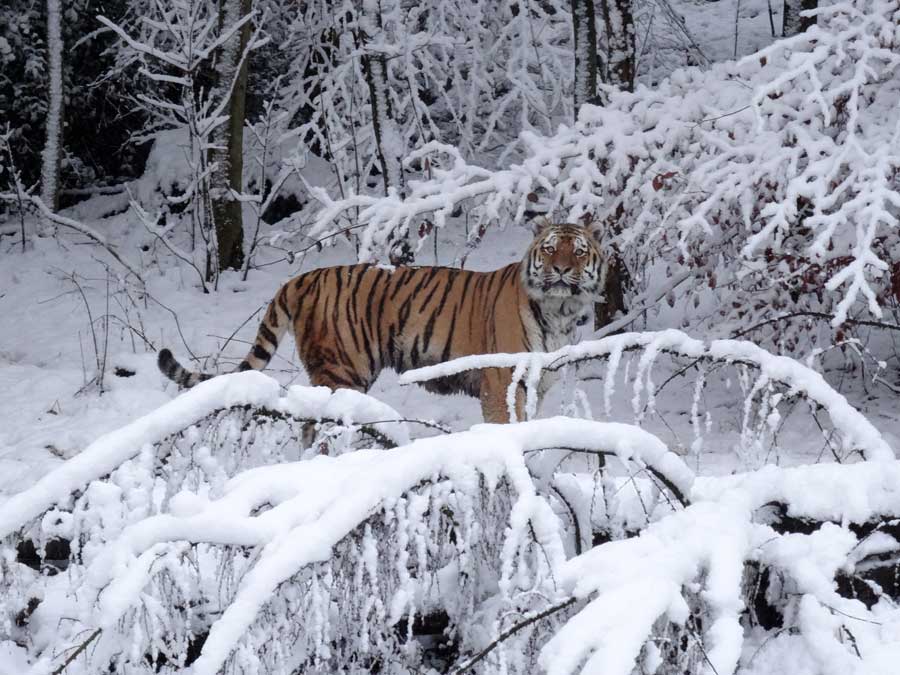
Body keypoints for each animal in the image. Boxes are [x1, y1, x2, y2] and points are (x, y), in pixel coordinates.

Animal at [158, 222, 608, 422]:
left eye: (578, 251)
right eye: (549, 250)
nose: (562, 270)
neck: (559, 312)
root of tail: (302, 277)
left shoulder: (537, 386)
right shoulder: (501, 385)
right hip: (342, 369)